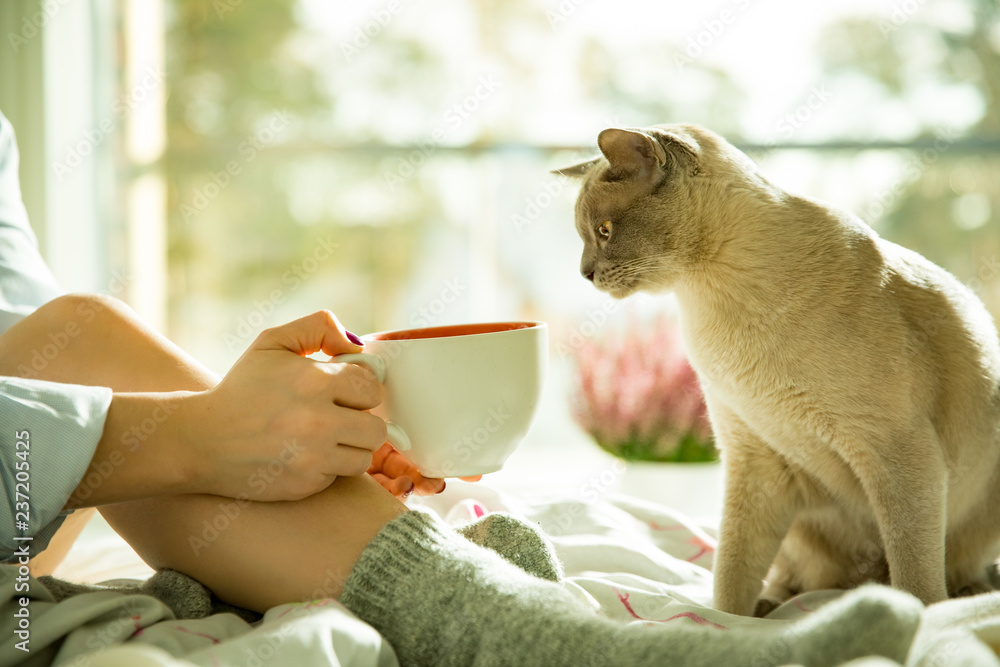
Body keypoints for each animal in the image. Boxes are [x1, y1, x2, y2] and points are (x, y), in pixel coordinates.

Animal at [560, 124, 1000, 616]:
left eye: (604, 231)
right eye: (587, 235)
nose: (585, 273)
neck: (712, 298)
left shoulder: (898, 451)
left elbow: (914, 575)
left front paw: (919, 615)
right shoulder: (755, 458)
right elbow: (731, 576)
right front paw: (730, 620)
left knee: (946, 569)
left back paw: (967, 594)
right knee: (799, 581)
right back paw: (772, 606)